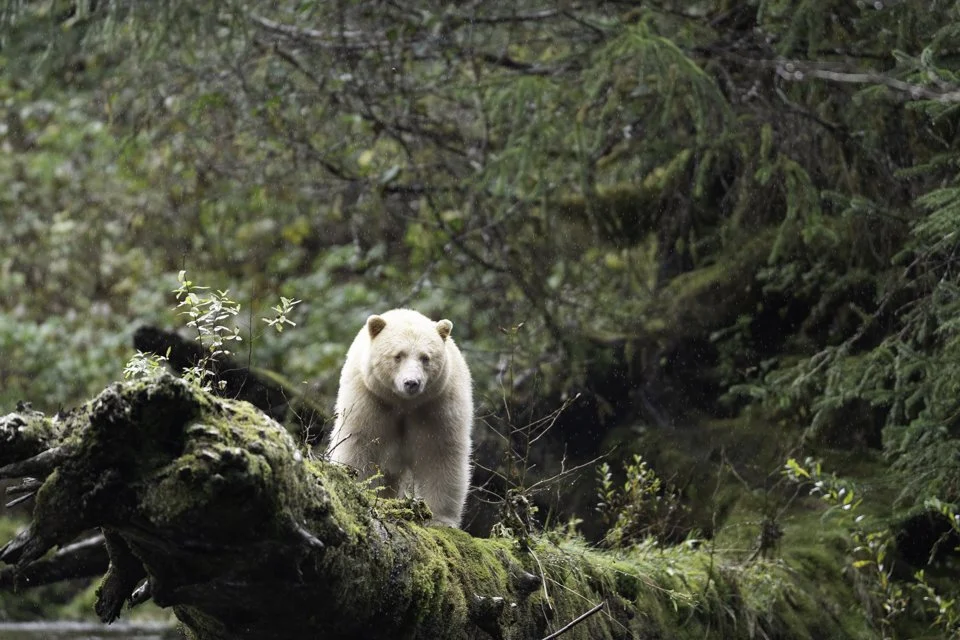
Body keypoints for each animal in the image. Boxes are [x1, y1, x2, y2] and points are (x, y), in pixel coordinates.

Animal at [327, 308, 473, 527]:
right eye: (398, 356)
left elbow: (440, 454)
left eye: (425, 358)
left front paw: (441, 520)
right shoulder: (369, 400)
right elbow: (359, 443)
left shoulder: (436, 408)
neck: (403, 404)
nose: (411, 383)